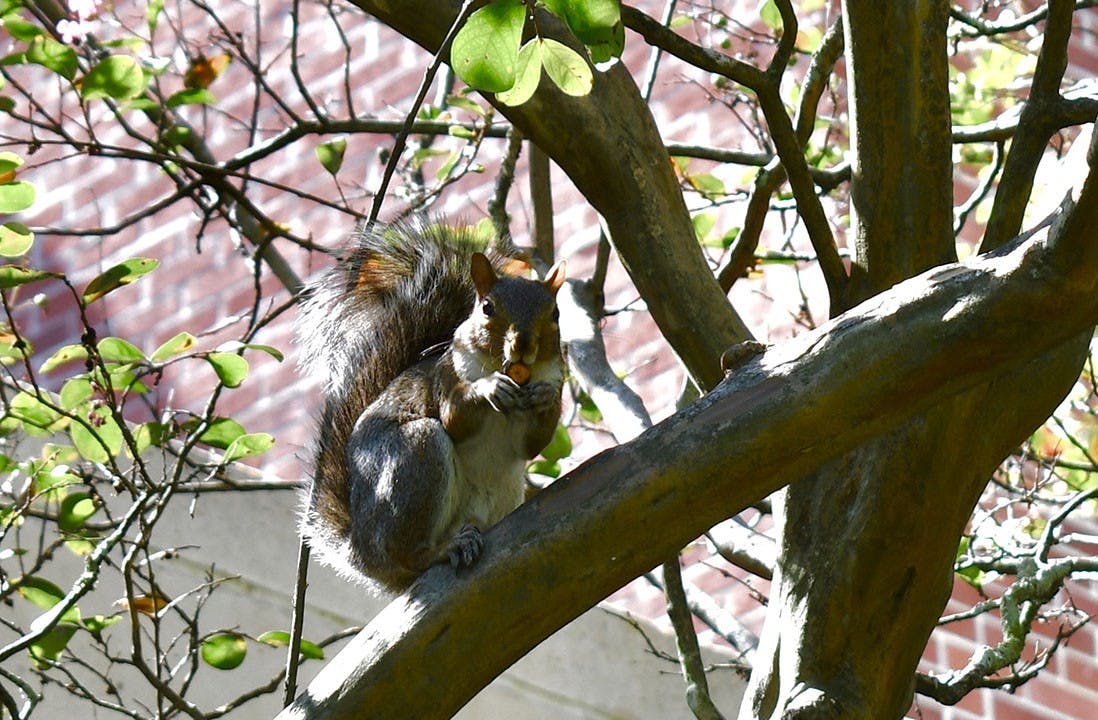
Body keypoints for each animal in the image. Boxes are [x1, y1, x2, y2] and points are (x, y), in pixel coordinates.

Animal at [295, 220, 566, 592]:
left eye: (555, 313)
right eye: (487, 308)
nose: (523, 346)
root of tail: (362, 553)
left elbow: (532, 443)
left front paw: (546, 398)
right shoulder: (446, 378)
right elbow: (456, 420)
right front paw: (487, 388)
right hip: (416, 457)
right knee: (408, 556)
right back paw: (441, 550)